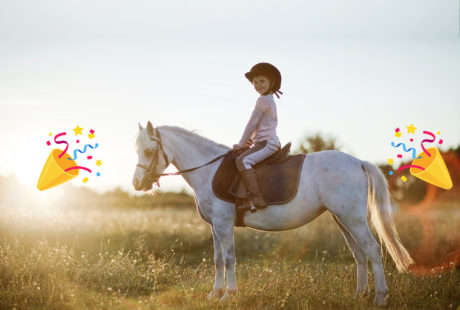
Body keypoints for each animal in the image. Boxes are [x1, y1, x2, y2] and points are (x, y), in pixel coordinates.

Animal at [132, 121, 414, 306]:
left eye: (148, 151)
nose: (136, 183)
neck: (208, 170)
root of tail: (358, 162)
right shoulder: (214, 226)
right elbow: (217, 260)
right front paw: (214, 294)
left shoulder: (223, 224)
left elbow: (229, 259)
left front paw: (228, 295)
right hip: (342, 219)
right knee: (359, 254)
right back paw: (359, 296)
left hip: (353, 219)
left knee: (373, 249)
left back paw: (380, 297)